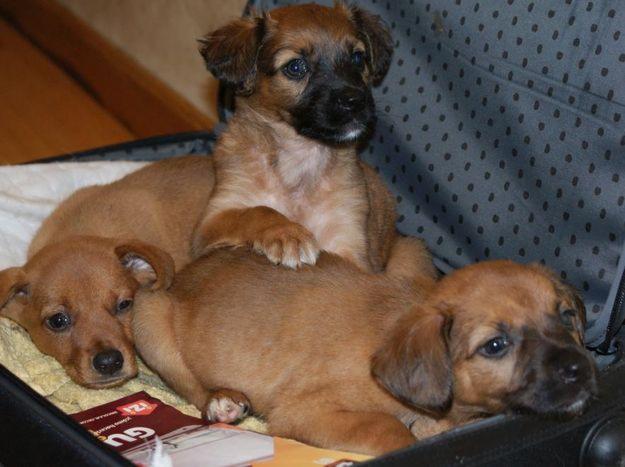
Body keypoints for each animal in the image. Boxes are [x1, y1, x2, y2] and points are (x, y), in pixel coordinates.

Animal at [132, 245, 596, 458]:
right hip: (149, 317)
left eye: (566, 316)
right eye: (495, 345)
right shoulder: (306, 411)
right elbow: (388, 429)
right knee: (191, 385)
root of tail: (184, 271)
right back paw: (222, 401)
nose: (580, 370)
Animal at [190, 2, 398, 270]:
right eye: (296, 67)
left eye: (358, 57)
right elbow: (257, 211)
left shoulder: (351, 246)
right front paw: (288, 234)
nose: (355, 101)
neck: (300, 156)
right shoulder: (211, 222)